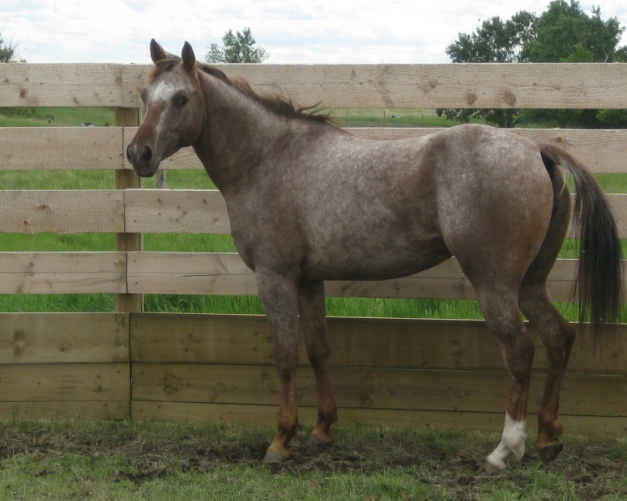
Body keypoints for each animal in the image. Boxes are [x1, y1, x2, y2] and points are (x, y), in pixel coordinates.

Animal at [127, 41, 624, 470]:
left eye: (181, 99)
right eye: (145, 95)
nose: (138, 154)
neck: (269, 159)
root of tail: (535, 148)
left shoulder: (275, 278)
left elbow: (285, 355)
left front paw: (281, 440)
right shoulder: (309, 280)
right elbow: (318, 350)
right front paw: (323, 430)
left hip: (496, 284)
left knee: (520, 351)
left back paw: (505, 451)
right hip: (530, 283)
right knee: (559, 338)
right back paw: (548, 437)